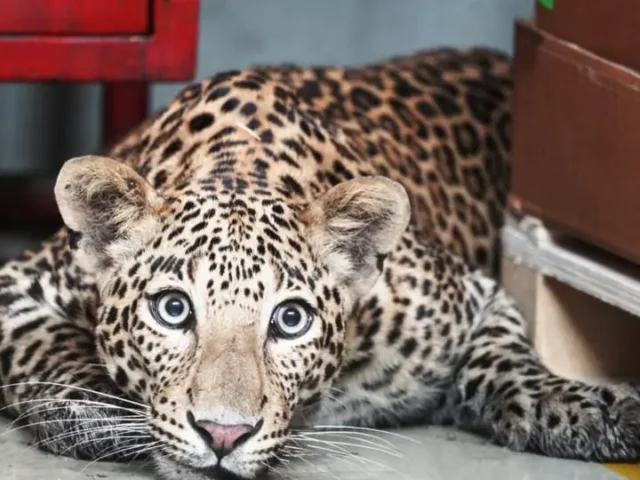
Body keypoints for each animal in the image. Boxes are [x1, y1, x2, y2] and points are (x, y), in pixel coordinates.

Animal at [1, 47, 640, 480]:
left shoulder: (477, 298)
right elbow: (51, 347)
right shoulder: (16, 285)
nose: (223, 434)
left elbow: (508, 362)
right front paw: (104, 414)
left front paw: (596, 411)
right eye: (173, 309)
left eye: (290, 321)